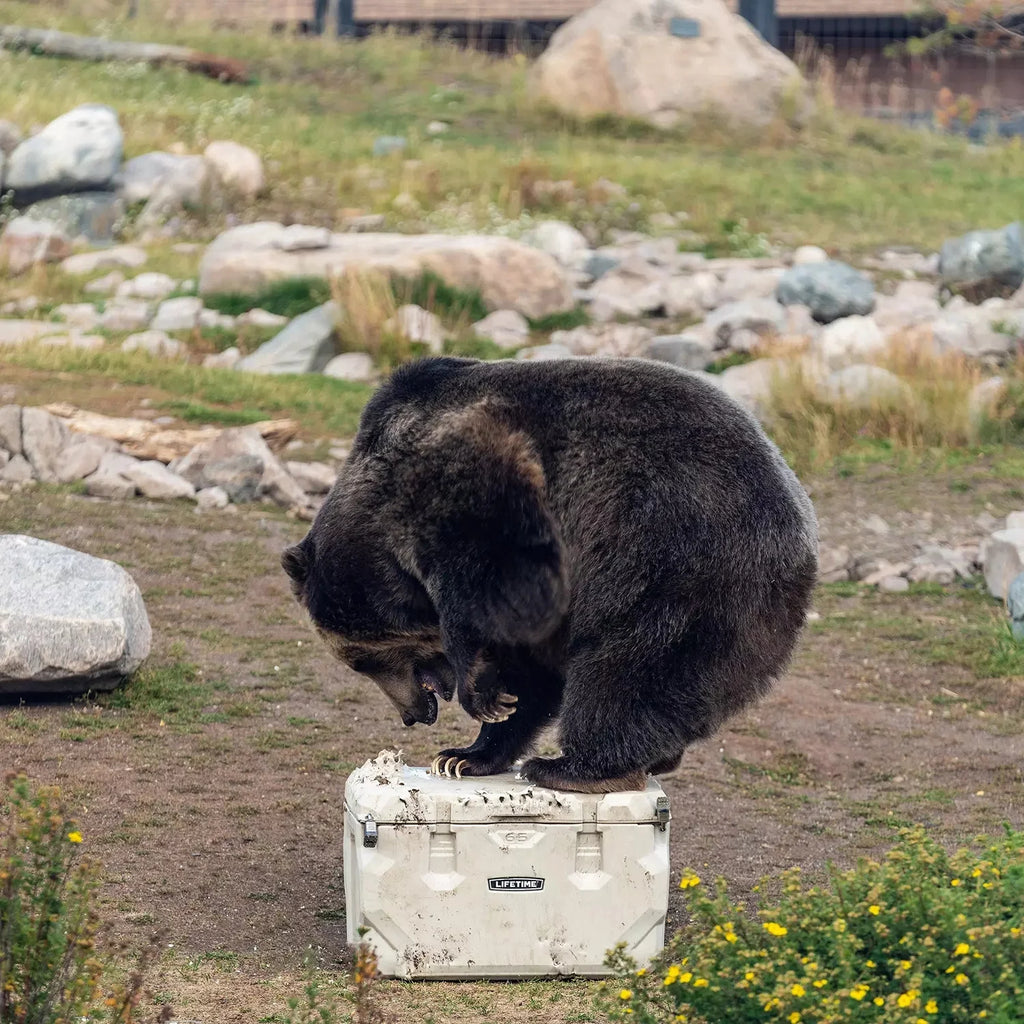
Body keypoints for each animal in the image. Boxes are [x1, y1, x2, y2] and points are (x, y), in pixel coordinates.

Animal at [282, 356, 818, 793]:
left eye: (362, 661)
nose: (412, 716)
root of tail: (803, 539)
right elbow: (527, 674)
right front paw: (467, 751)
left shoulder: (468, 490)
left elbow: (494, 578)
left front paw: (480, 696)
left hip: (676, 561)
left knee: (627, 670)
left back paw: (576, 767)